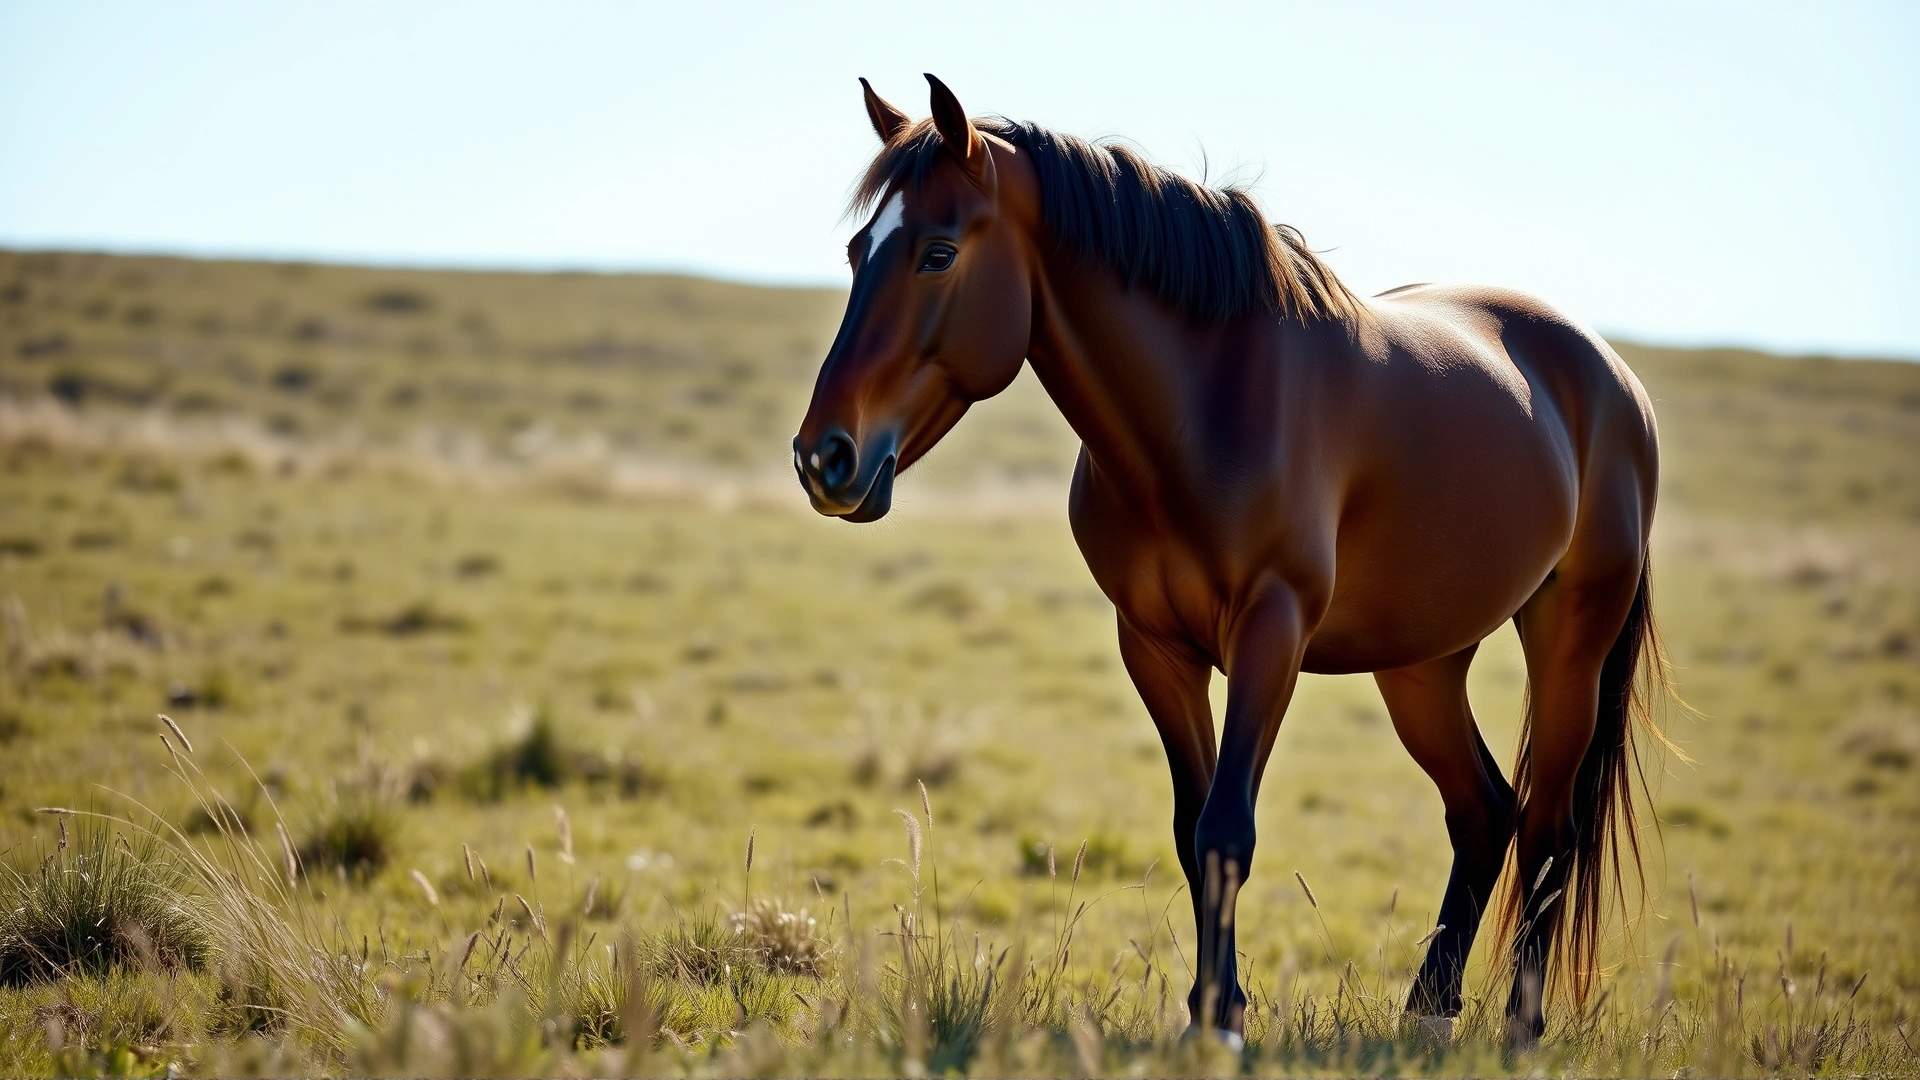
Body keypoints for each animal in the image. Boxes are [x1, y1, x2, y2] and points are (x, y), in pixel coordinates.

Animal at [794, 74, 1668, 1045]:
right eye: (857, 251)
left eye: (939, 253)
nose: (824, 459)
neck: (1204, 410)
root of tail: (1608, 374)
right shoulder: (1154, 647)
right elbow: (1192, 831)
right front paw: (1213, 1007)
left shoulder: (1270, 631)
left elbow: (1226, 830)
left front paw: (1219, 1024)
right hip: (1423, 662)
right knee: (1485, 812)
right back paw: (1429, 1015)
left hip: (1570, 642)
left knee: (1550, 827)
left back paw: (1519, 1027)